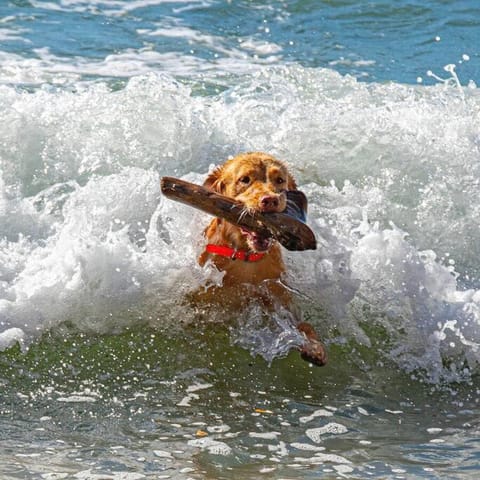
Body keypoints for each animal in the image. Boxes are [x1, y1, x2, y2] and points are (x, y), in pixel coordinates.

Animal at [195, 152, 326, 366]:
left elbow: (305, 325)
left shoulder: (281, 296)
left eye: (279, 180)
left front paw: (314, 347)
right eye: (245, 179)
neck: (246, 259)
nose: (270, 200)